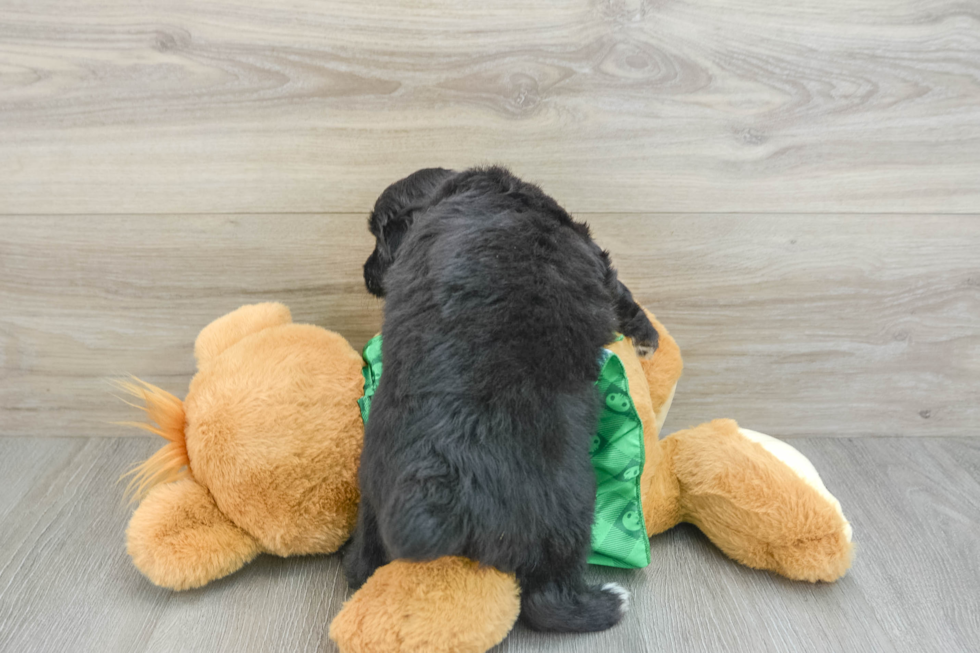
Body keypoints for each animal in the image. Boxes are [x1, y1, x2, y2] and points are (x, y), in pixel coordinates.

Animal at [344, 167, 660, 632]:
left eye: (380, 238)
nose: (366, 273)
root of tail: (434, 488)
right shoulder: (593, 255)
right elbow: (621, 293)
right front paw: (647, 338)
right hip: (566, 506)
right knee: (545, 598)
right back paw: (606, 603)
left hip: (373, 496)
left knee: (363, 563)